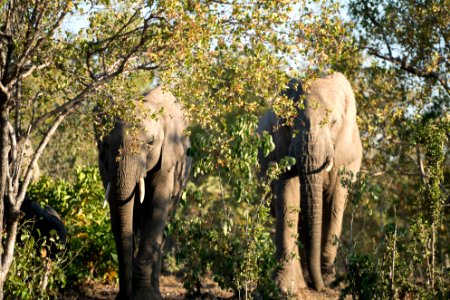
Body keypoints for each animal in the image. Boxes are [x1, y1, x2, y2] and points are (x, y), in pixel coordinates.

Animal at [96, 85, 191, 298]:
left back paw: (156, 292)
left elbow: (157, 208)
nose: (125, 296)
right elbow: (118, 213)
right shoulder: (104, 164)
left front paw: (144, 297)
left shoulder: (168, 157)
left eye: (150, 142)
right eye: (105, 143)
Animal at [256, 72, 362, 292]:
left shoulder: (344, 155)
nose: (319, 288)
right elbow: (288, 197)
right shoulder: (280, 148)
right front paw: (284, 288)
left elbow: (334, 204)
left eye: (333, 123)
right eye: (288, 122)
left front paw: (332, 283)